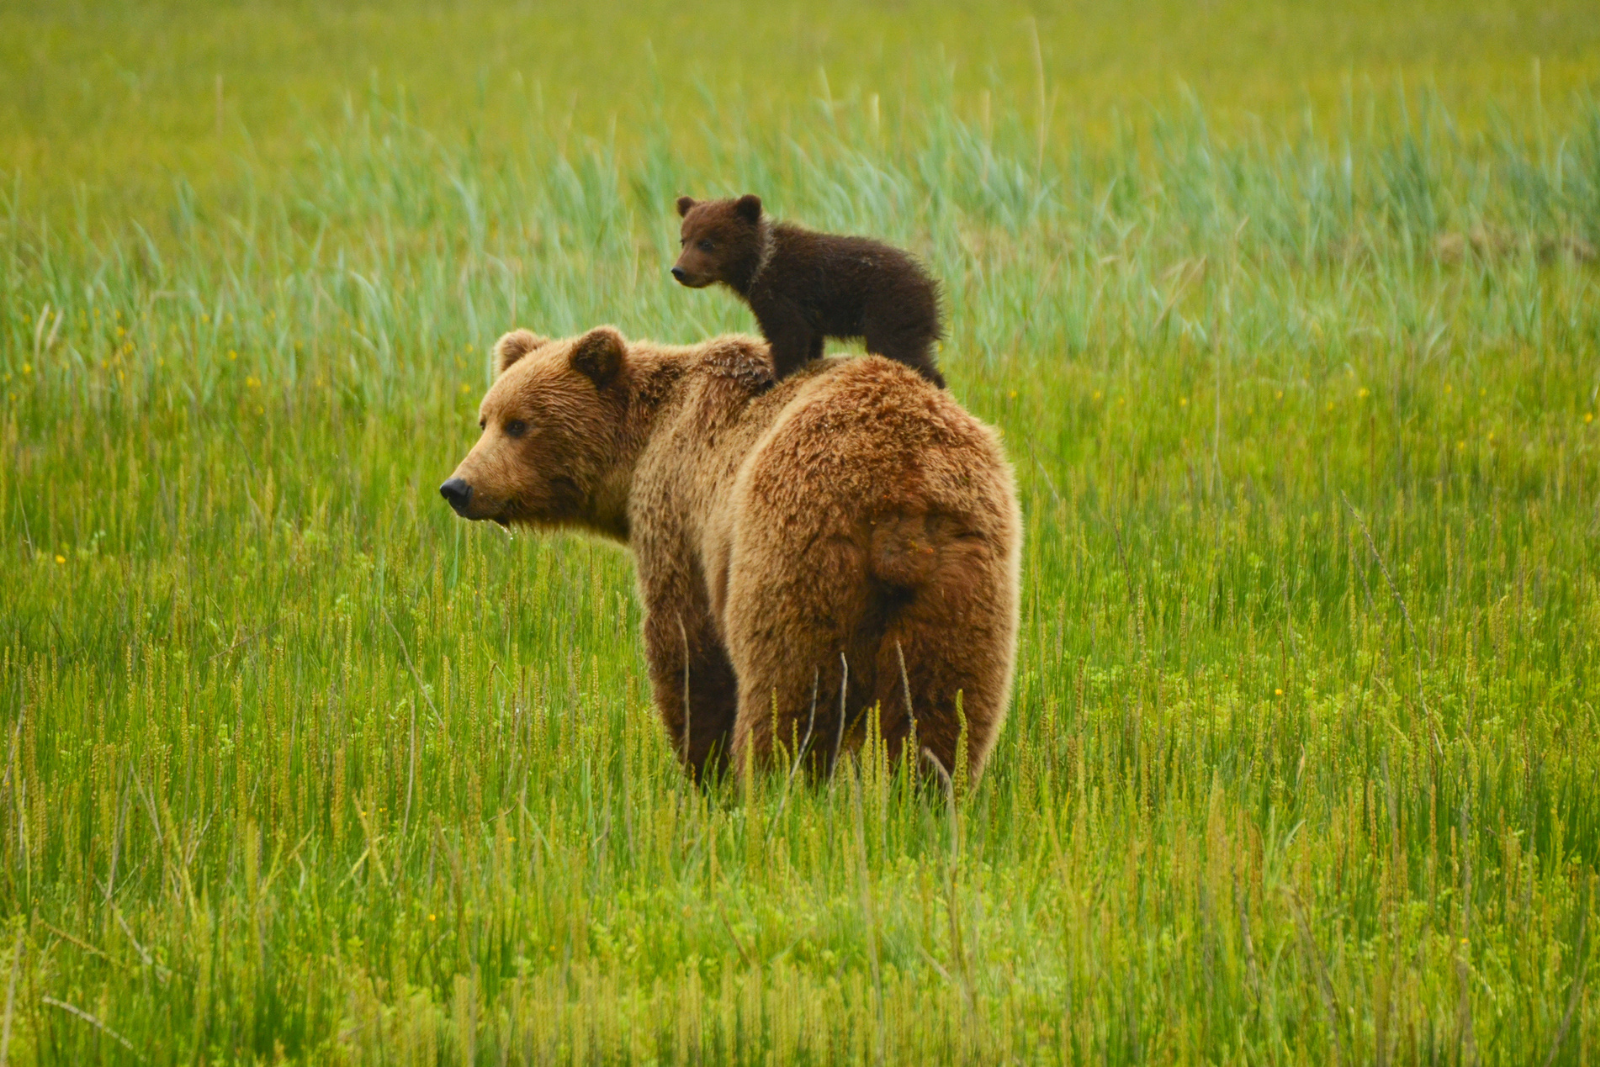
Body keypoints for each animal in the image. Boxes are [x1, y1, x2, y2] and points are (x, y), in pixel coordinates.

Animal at [441, 327, 1011, 783]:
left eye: (519, 424)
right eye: (485, 420)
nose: (458, 487)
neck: (642, 445)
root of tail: (899, 492)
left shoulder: (679, 512)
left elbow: (686, 647)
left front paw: (703, 767)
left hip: (795, 551)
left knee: (790, 689)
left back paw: (773, 790)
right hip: (964, 573)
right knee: (945, 703)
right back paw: (924, 796)